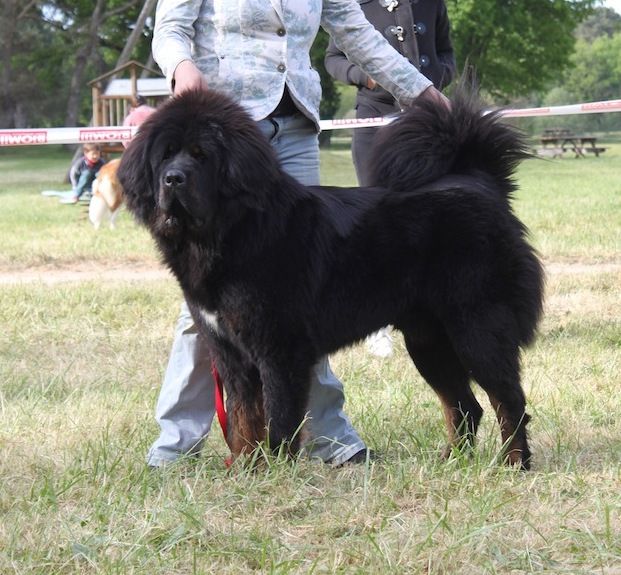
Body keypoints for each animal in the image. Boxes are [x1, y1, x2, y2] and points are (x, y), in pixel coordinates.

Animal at [120, 89, 544, 468]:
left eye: (201, 156)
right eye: (165, 156)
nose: (173, 179)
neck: (229, 232)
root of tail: (481, 183)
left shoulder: (279, 350)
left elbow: (279, 421)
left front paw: (275, 474)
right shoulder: (230, 352)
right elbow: (244, 421)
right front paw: (245, 470)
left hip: (477, 328)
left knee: (509, 400)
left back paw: (513, 463)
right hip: (429, 342)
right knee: (465, 406)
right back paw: (450, 462)